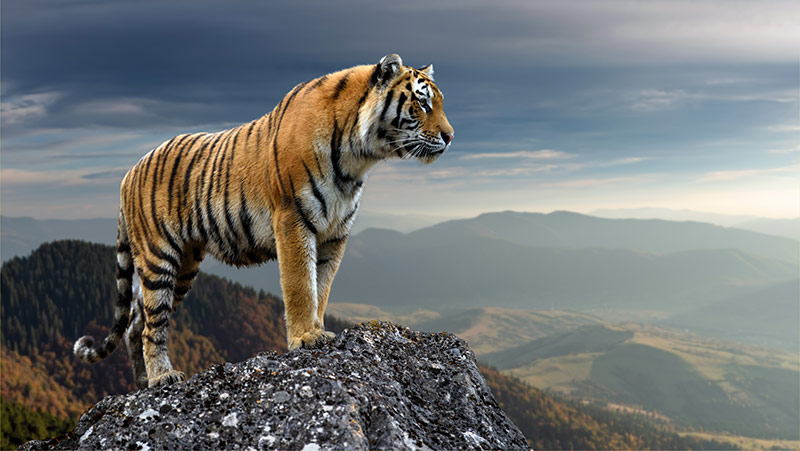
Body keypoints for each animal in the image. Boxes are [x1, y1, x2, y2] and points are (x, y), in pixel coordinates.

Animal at [73, 54, 454, 388]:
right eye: (422, 104)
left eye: (440, 103)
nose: (450, 137)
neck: (357, 159)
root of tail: (127, 173)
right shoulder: (293, 220)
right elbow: (301, 285)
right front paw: (306, 337)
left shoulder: (335, 235)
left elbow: (322, 287)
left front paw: (317, 329)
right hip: (159, 257)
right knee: (153, 325)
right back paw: (162, 378)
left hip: (184, 266)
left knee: (136, 324)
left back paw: (142, 383)